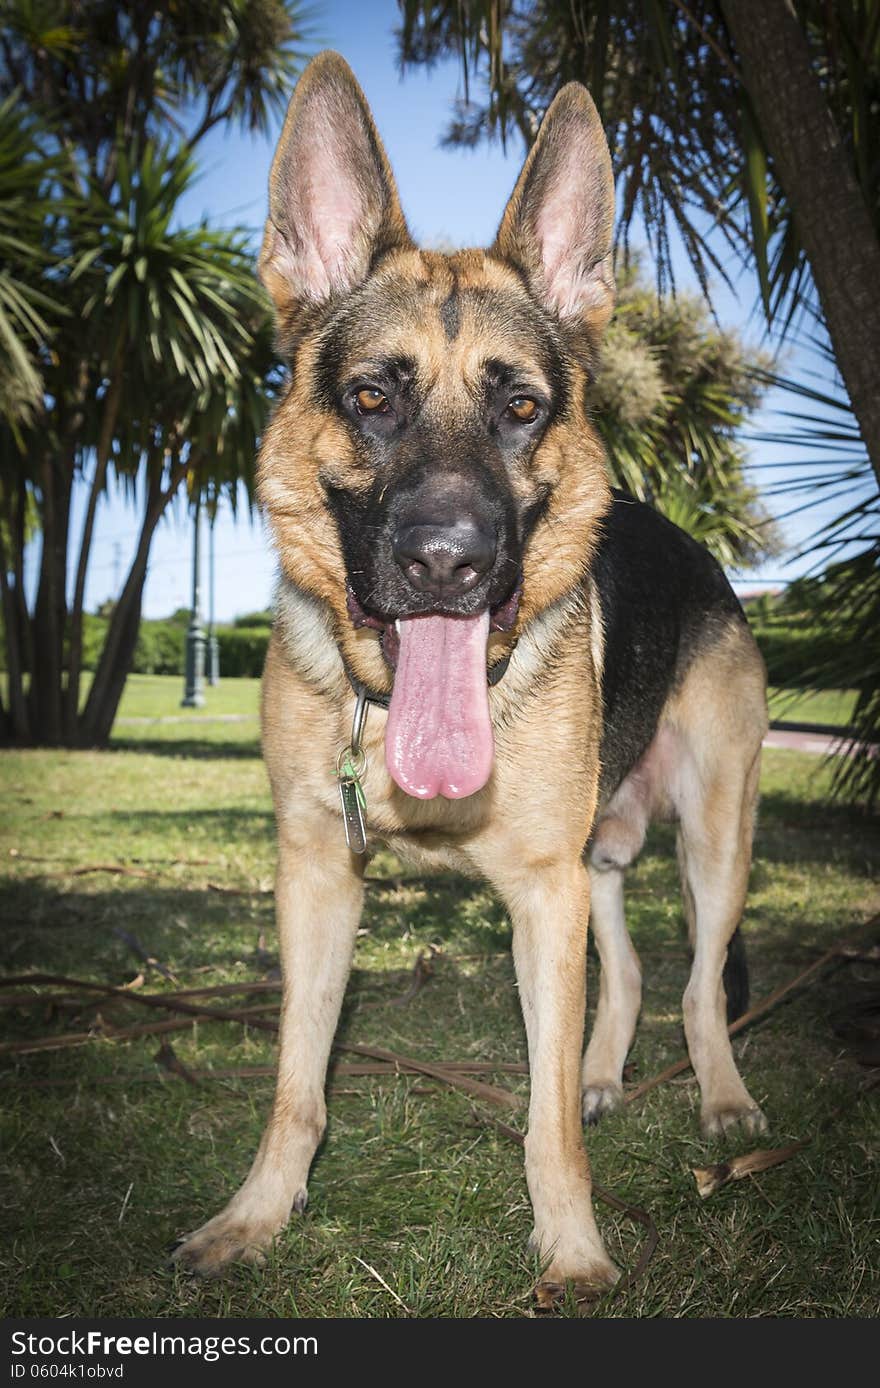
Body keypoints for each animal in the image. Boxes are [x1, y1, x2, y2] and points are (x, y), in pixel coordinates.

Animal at [169, 48, 760, 1293]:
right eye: (372, 396)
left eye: (521, 406)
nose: (449, 559)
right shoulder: (319, 879)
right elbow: (297, 1082)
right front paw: (259, 1212)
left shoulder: (541, 892)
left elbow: (545, 1119)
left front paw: (572, 1247)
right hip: (599, 856)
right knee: (631, 972)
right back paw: (604, 1066)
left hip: (712, 840)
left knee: (695, 984)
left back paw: (723, 1099)